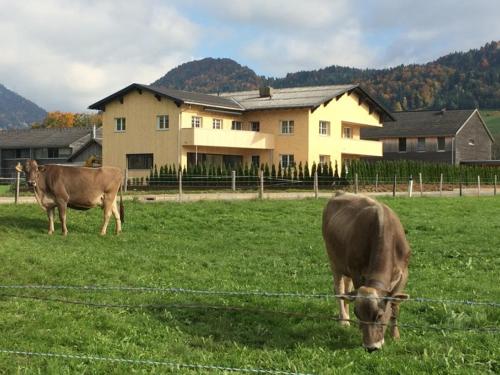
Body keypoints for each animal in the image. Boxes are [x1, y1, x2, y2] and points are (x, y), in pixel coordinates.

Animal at [322, 194, 412, 352]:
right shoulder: (356, 271)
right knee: (339, 290)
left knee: (347, 290)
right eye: (358, 313)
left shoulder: (403, 273)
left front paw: (395, 335)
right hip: (335, 262)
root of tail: (339, 193)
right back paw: (344, 320)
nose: (371, 347)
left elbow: (395, 306)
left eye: (379, 315)